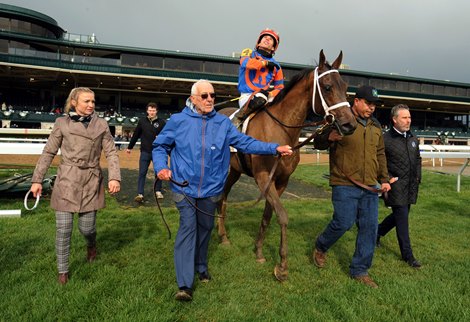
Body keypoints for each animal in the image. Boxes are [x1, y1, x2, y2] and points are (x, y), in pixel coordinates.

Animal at [218, 49, 358, 280]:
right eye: (327, 86)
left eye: (346, 87)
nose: (350, 124)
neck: (280, 129)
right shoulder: (263, 178)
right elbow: (282, 216)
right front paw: (282, 265)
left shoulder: (281, 180)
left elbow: (268, 215)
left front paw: (258, 251)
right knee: (220, 197)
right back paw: (222, 236)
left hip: (234, 172)